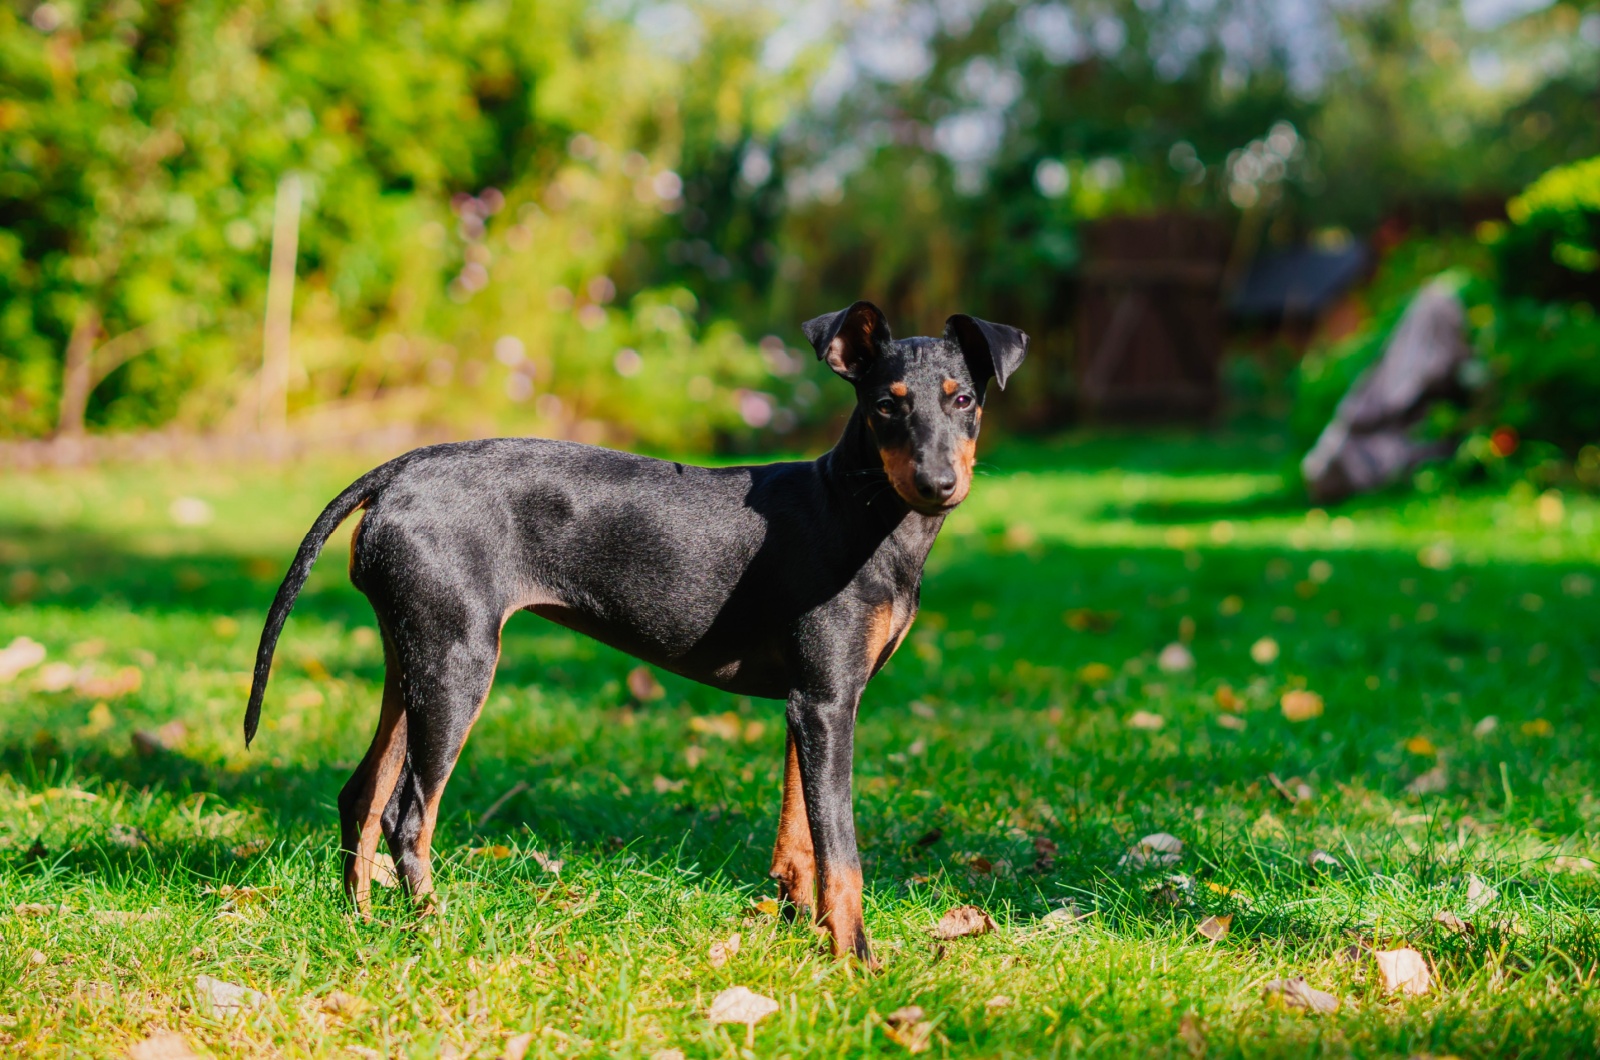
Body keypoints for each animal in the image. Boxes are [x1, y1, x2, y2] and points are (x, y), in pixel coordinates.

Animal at [248, 299, 1024, 960]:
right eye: (885, 405)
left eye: (964, 400)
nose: (938, 484)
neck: (863, 509)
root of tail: (396, 473)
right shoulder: (828, 704)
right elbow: (843, 855)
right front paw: (855, 962)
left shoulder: (809, 704)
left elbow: (800, 840)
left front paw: (803, 931)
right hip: (457, 667)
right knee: (407, 814)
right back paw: (433, 931)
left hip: (413, 660)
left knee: (360, 794)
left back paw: (363, 926)